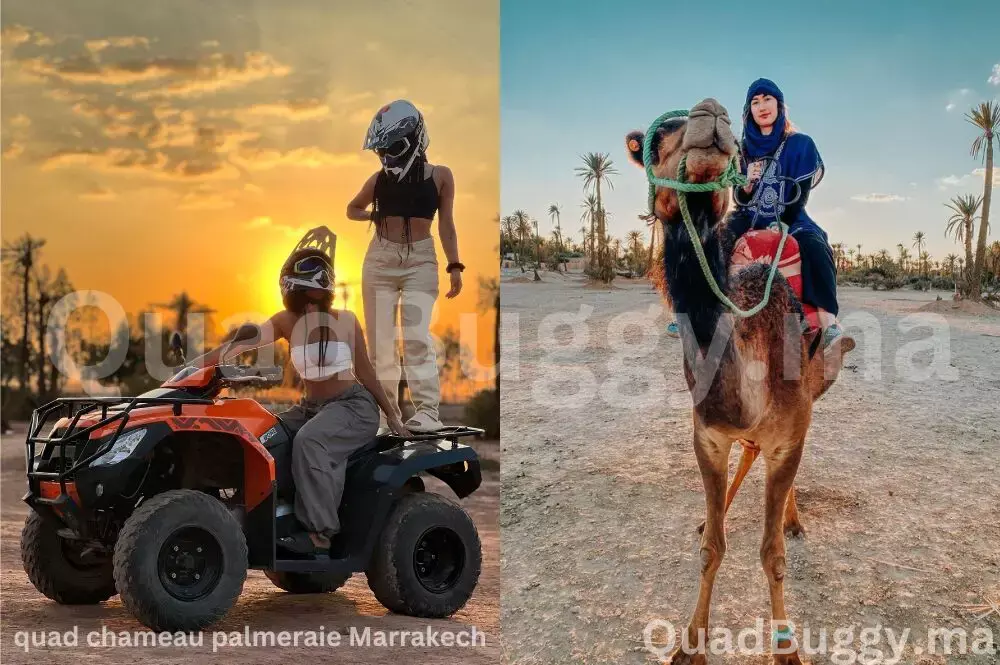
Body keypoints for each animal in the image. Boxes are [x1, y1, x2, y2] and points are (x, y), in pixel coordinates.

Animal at [625, 99, 855, 664]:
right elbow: (712, 549)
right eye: (655, 140)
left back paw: (792, 517)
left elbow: (771, 554)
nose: (710, 114)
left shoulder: (789, 432)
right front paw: (690, 644)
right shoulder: (706, 434)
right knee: (746, 455)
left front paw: (787, 649)